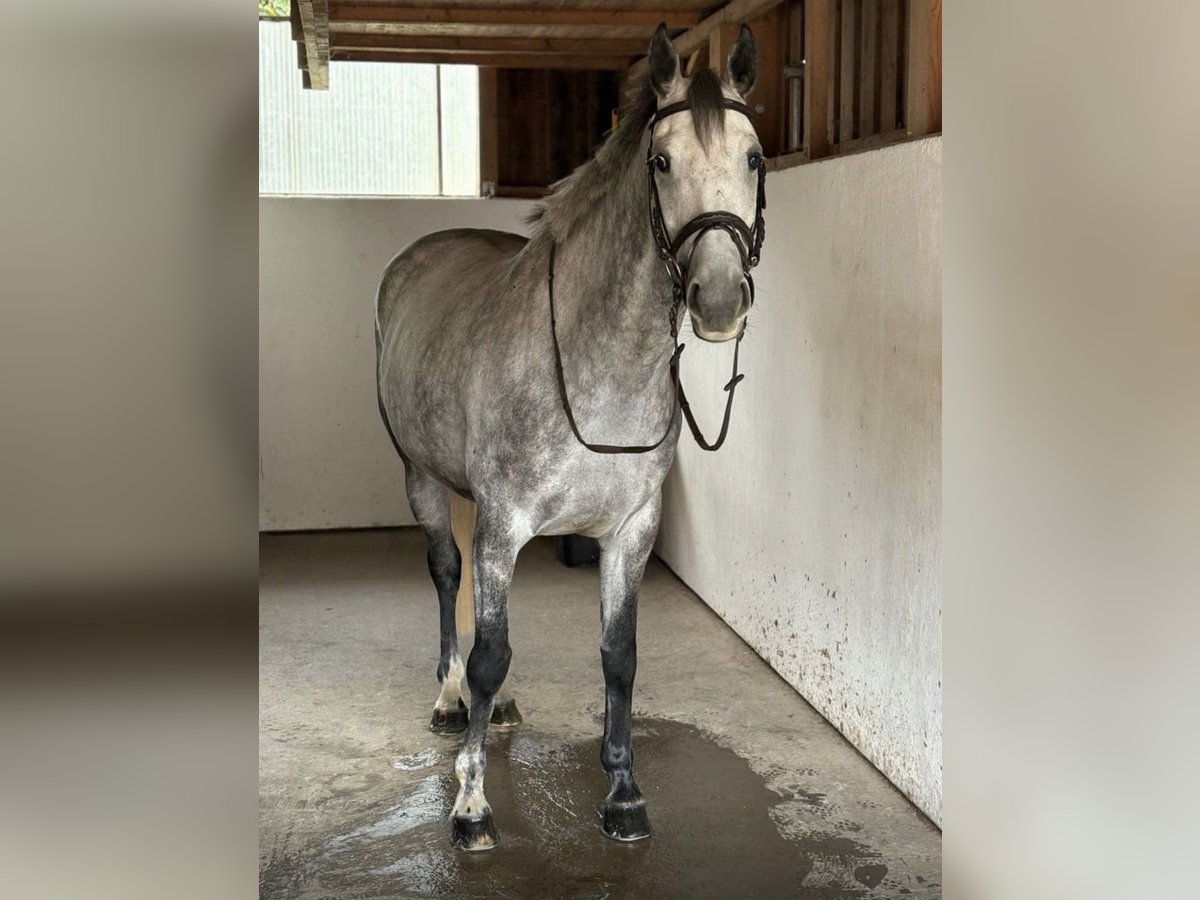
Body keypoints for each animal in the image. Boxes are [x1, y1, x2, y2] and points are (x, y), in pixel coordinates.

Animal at [375, 23, 767, 851]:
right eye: (661, 161)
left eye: (752, 158)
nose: (719, 300)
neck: (600, 368)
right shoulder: (505, 526)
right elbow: (490, 653)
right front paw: (471, 805)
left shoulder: (630, 531)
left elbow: (619, 657)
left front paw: (622, 796)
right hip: (421, 478)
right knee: (448, 576)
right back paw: (450, 702)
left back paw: (496, 709)